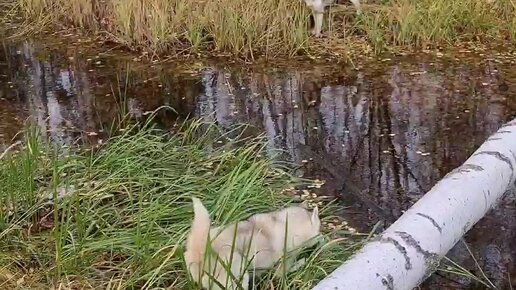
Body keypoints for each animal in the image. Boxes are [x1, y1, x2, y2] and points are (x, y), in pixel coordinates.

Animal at [185, 198, 320, 288]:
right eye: (319, 230)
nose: (321, 238)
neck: (284, 224)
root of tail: (200, 251)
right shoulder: (284, 262)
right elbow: (287, 269)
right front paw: (303, 261)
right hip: (237, 277)